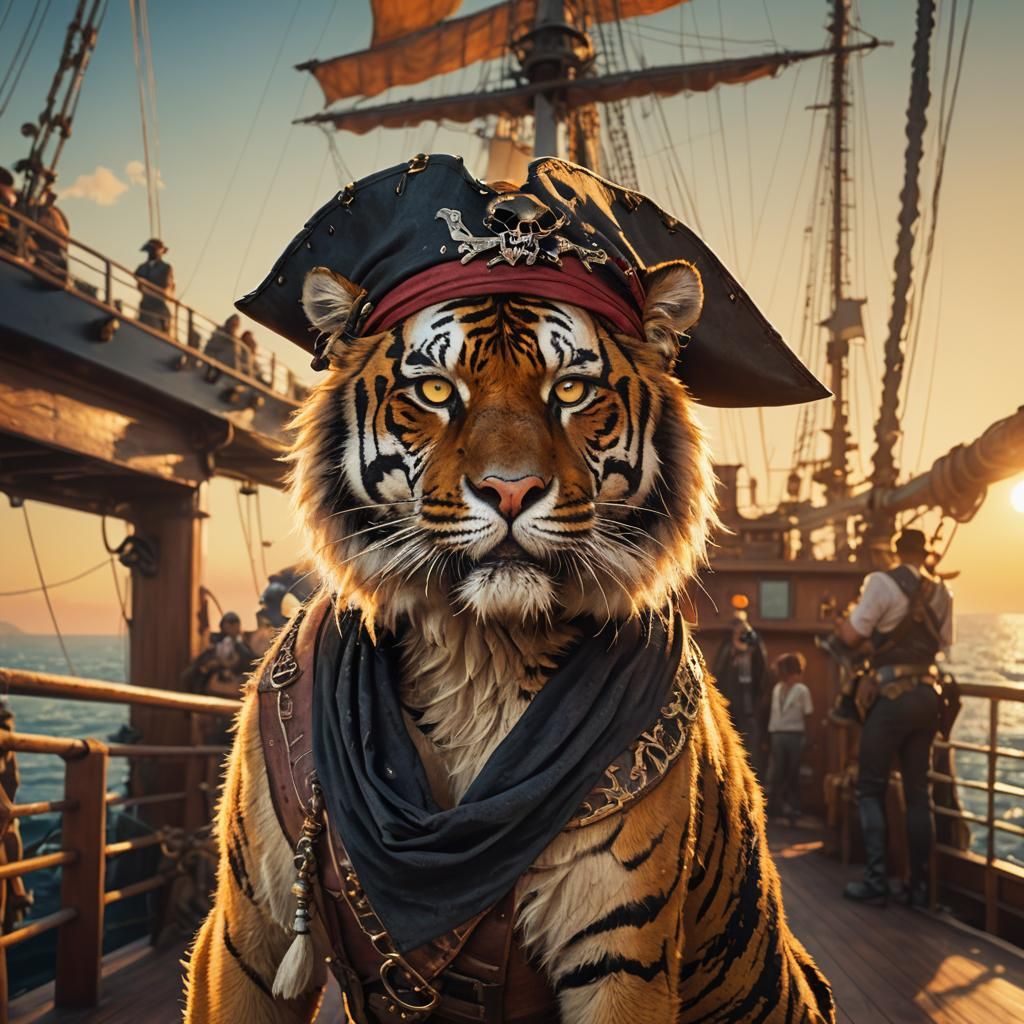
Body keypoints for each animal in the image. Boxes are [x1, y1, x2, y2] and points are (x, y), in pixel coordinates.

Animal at [183, 259, 835, 1023]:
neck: (482, 654)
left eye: (571, 390)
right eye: (437, 390)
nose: (512, 490)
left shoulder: (624, 960)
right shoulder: (248, 929)